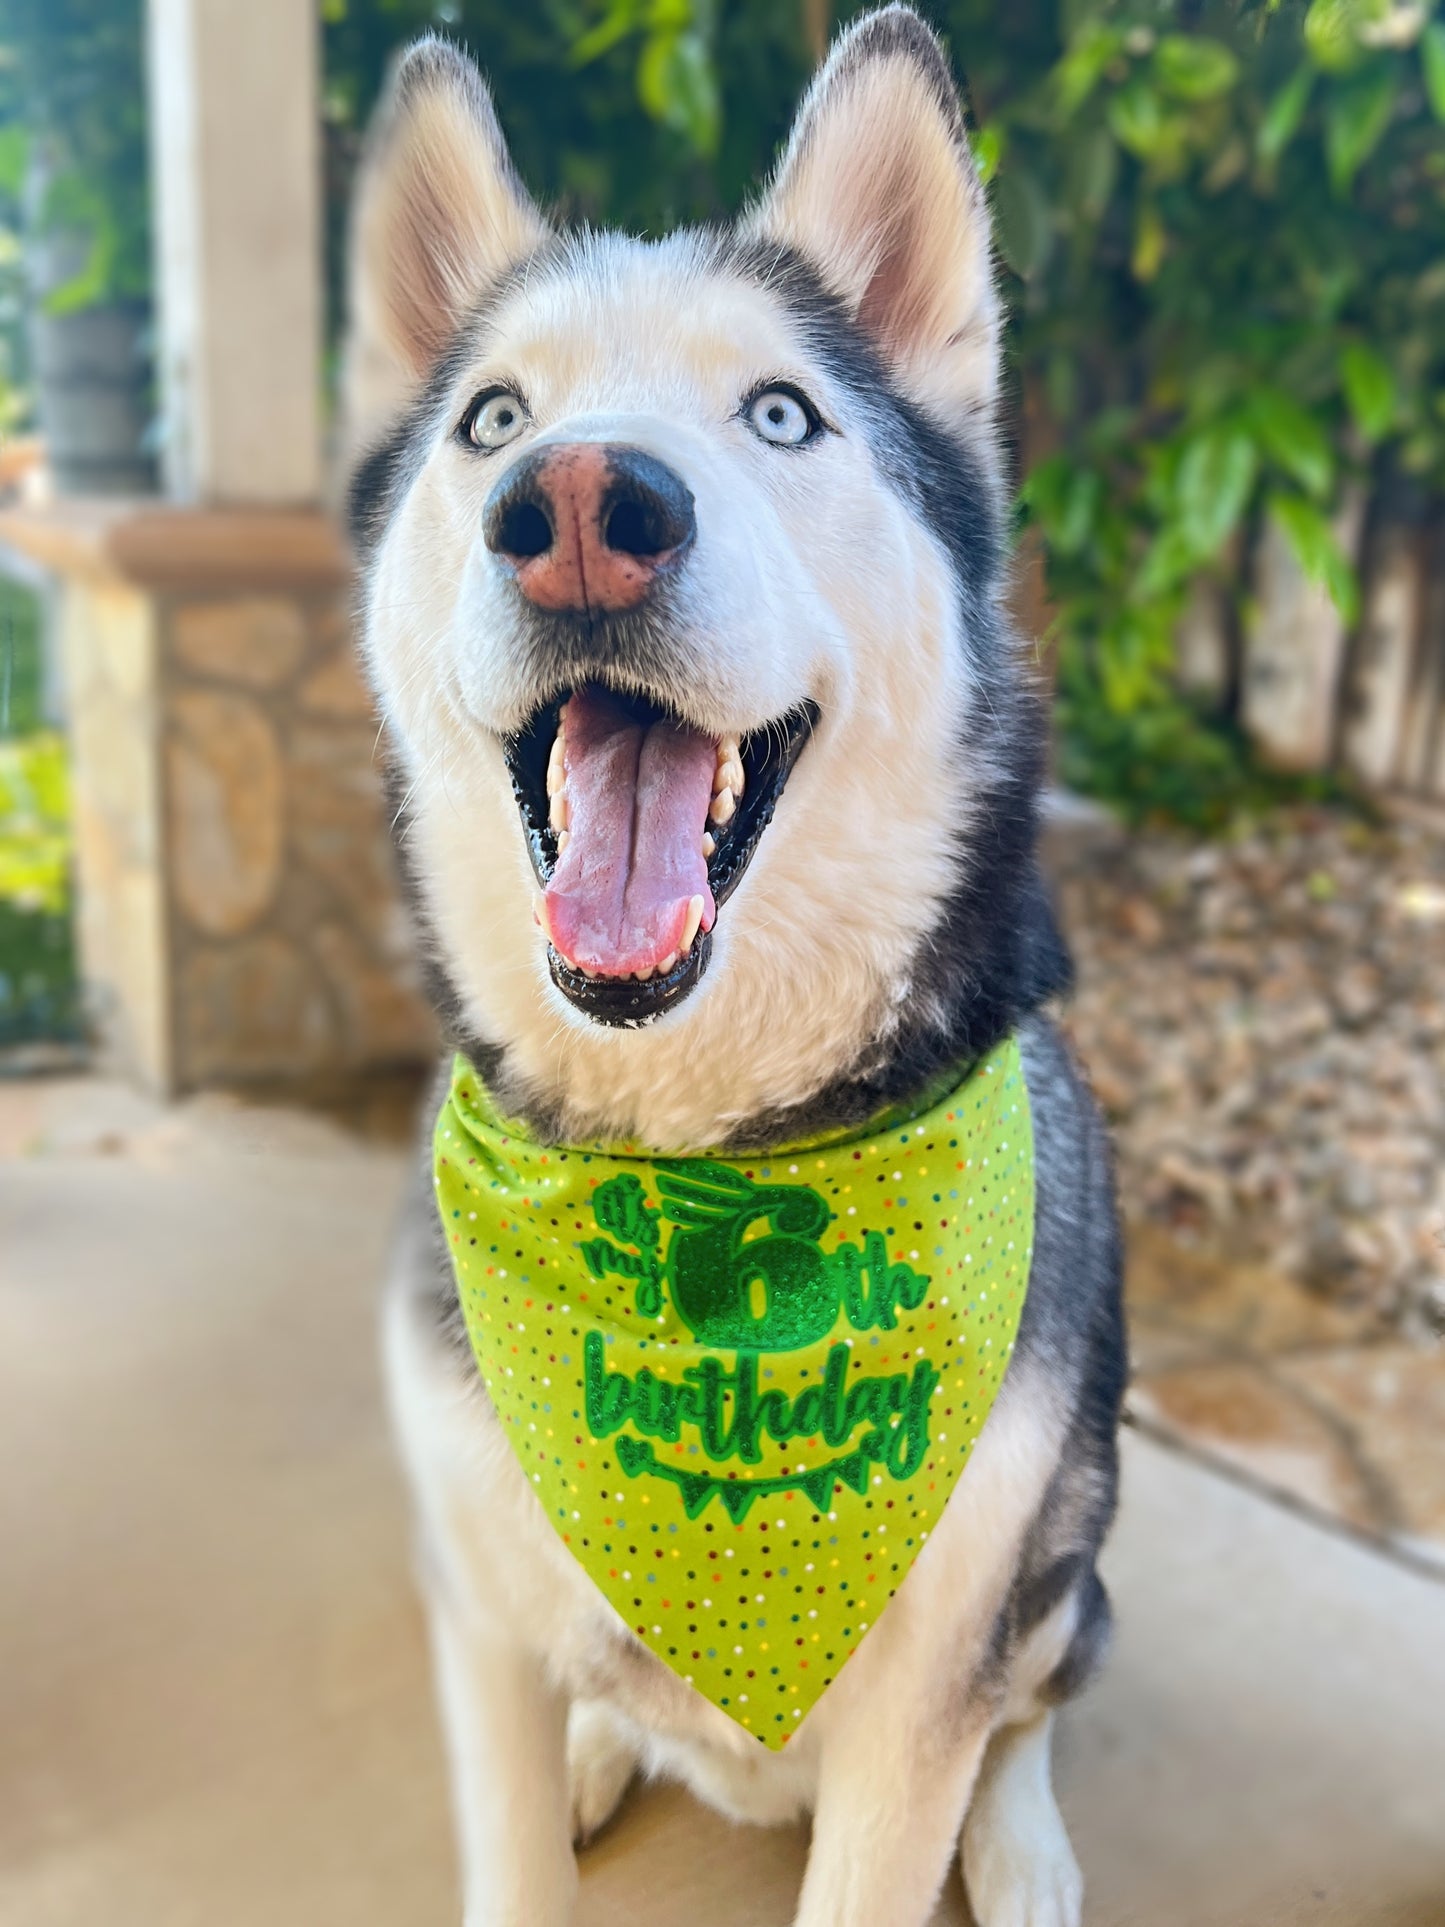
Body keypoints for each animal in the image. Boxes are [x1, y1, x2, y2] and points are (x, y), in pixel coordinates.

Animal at [344, 7, 1125, 1919]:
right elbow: (508, 1840)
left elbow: (948, 1753)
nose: (574, 503)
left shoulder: (921, 1706)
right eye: (493, 419)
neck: (689, 1165)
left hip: (1076, 1542)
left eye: (783, 414)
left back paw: (1024, 1842)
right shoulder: (476, 1615)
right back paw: (606, 1743)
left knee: (1040, 1695)